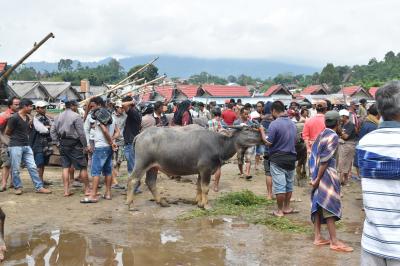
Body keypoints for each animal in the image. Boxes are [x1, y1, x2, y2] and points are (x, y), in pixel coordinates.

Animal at [126, 125, 262, 210]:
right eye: (247, 129)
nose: (260, 134)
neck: (219, 144)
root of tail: (140, 135)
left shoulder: (201, 171)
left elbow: (199, 186)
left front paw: (199, 202)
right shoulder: (206, 169)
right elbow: (205, 188)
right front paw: (206, 205)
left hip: (153, 167)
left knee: (150, 182)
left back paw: (162, 202)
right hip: (142, 163)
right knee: (133, 180)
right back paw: (131, 205)